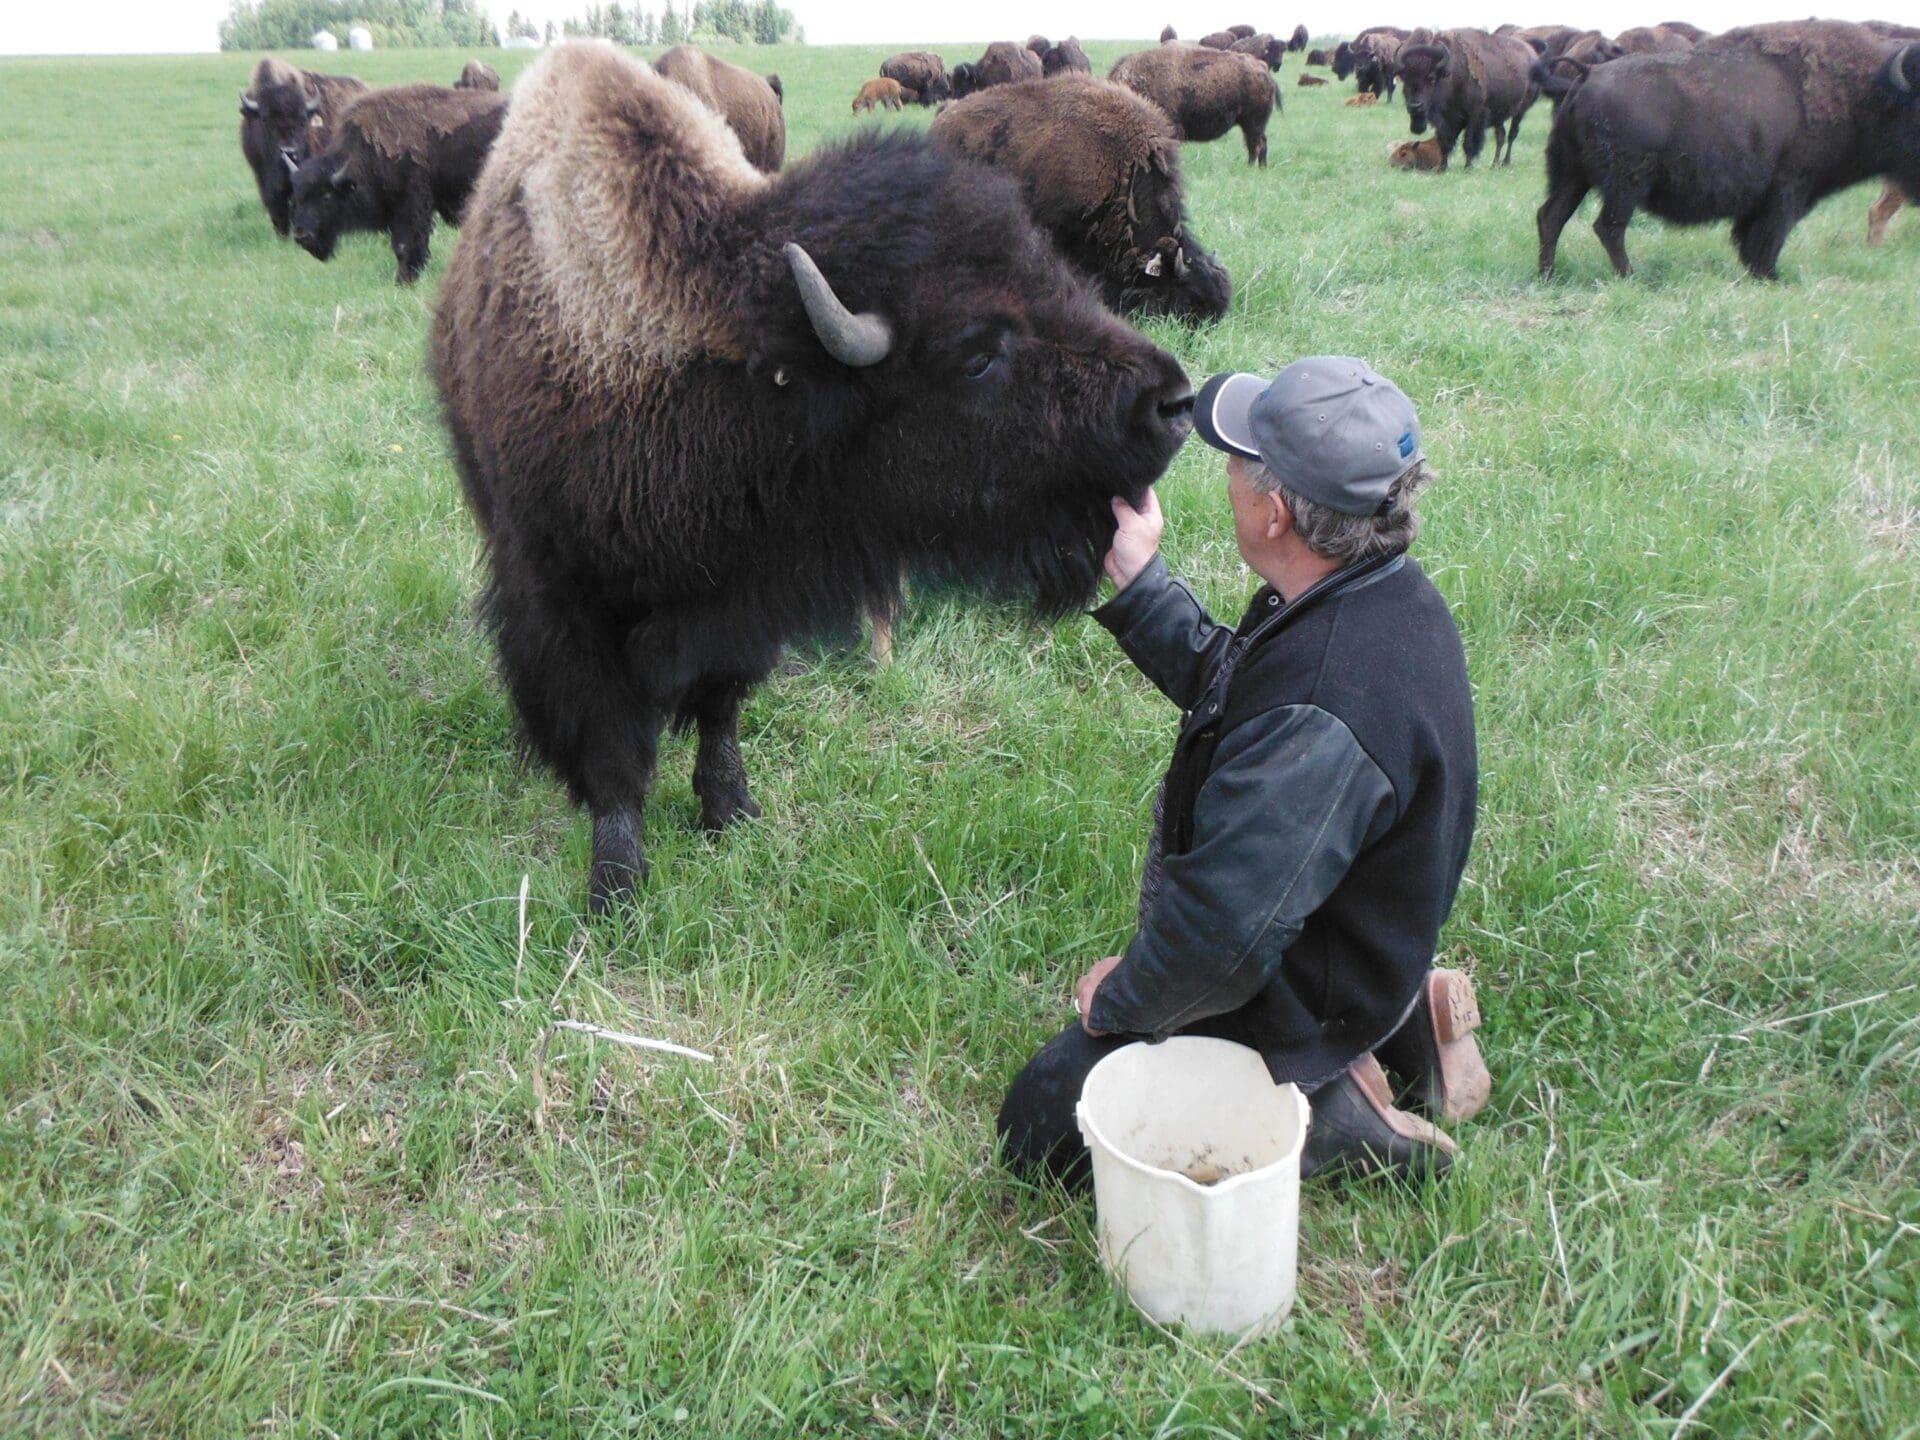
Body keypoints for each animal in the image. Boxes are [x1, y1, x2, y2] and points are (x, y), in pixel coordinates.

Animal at [288, 84, 507, 284]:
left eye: (326, 196)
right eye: (297, 198)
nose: (301, 235)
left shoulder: (410, 204)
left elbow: (403, 245)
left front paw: (403, 281)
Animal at [1110, 44, 1278, 166]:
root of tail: (1262, 68)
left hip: (1253, 123)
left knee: (1256, 145)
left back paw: (1250, 167)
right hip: (1253, 124)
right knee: (1260, 143)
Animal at [1396, 30, 1539, 167]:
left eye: (1431, 78)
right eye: (1405, 79)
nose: (1415, 106)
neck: (1453, 74)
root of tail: (1532, 54)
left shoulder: (1473, 115)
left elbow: (1468, 142)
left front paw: (1468, 167)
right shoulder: (1446, 120)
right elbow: (1445, 142)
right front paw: (1442, 168)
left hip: (1520, 111)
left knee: (1512, 134)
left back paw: (1505, 162)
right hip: (1499, 115)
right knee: (1501, 136)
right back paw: (1494, 164)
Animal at [1538, 21, 1920, 279]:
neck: (1865, 91)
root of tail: (1586, 76)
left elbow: (1750, 237)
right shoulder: (1788, 191)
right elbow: (1767, 238)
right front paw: (1769, 276)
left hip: (1573, 175)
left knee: (1551, 216)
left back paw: (1548, 275)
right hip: (1624, 185)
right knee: (1608, 227)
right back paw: (1630, 276)